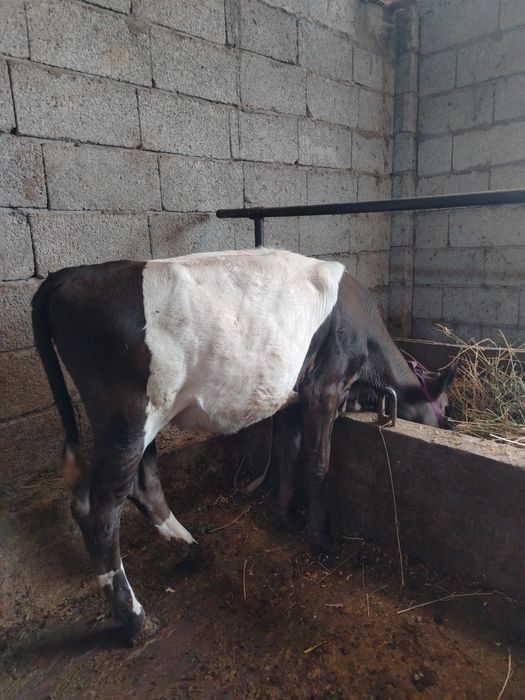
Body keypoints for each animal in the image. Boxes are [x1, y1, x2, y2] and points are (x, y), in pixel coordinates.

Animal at [32, 248, 454, 645]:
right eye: (446, 406)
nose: (449, 423)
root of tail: (68, 275)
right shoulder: (324, 388)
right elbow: (318, 463)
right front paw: (323, 540)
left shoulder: (293, 395)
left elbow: (287, 453)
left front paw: (286, 518)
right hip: (126, 416)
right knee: (99, 510)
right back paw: (137, 619)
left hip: (145, 419)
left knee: (144, 486)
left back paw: (192, 550)